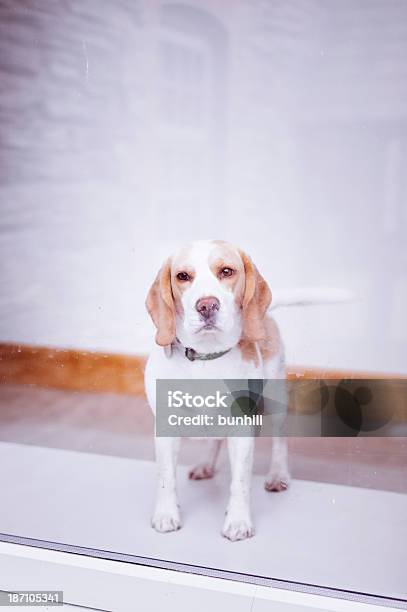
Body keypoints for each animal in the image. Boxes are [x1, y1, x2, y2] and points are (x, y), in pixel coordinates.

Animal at [145, 239, 288, 540]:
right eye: (182, 276)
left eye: (226, 271)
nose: (207, 305)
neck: (205, 358)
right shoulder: (165, 429)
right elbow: (165, 477)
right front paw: (166, 514)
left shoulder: (242, 431)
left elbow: (240, 482)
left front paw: (238, 521)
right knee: (213, 440)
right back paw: (206, 466)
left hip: (276, 401)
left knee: (280, 442)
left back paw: (278, 475)